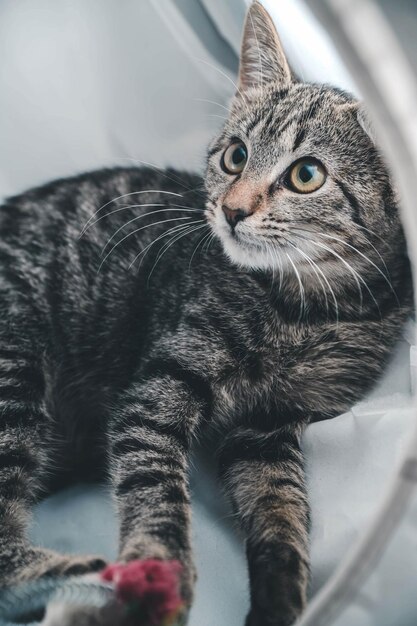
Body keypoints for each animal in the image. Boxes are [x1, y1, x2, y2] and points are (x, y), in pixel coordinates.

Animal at [0, 3, 410, 624]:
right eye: (235, 155)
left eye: (306, 175)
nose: (232, 209)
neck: (310, 308)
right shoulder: (158, 388)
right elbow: (156, 487)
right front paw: (158, 572)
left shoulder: (268, 428)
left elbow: (281, 505)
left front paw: (282, 597)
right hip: (14, 364)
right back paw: (76, 578)